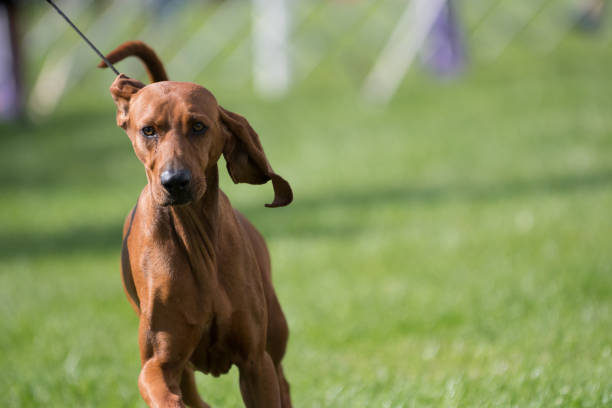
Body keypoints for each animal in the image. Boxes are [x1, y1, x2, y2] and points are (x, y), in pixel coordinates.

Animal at [98, 39, 294, 408]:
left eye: (199, 126)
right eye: (148, 130)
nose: (175, 181)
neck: (195, 239)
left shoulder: (254, 362)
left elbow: (262, 373)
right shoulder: (157, 363)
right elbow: (166, 393)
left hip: (274, 336)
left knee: (283, 381)